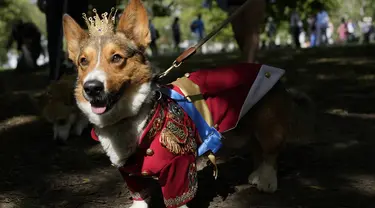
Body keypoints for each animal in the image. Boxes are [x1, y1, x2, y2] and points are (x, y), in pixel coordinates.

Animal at [64, 0, 314, 207]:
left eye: (116, 58)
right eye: (83, 61)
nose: (91, 88)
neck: (129, 119)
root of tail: (274, 73)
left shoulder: (179, 169)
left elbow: (177, 199)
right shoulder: (129, 175)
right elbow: (139, 197)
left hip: (268, 126)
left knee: (270, 153)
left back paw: (267, 180)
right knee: (256, 149)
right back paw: (256, 175)